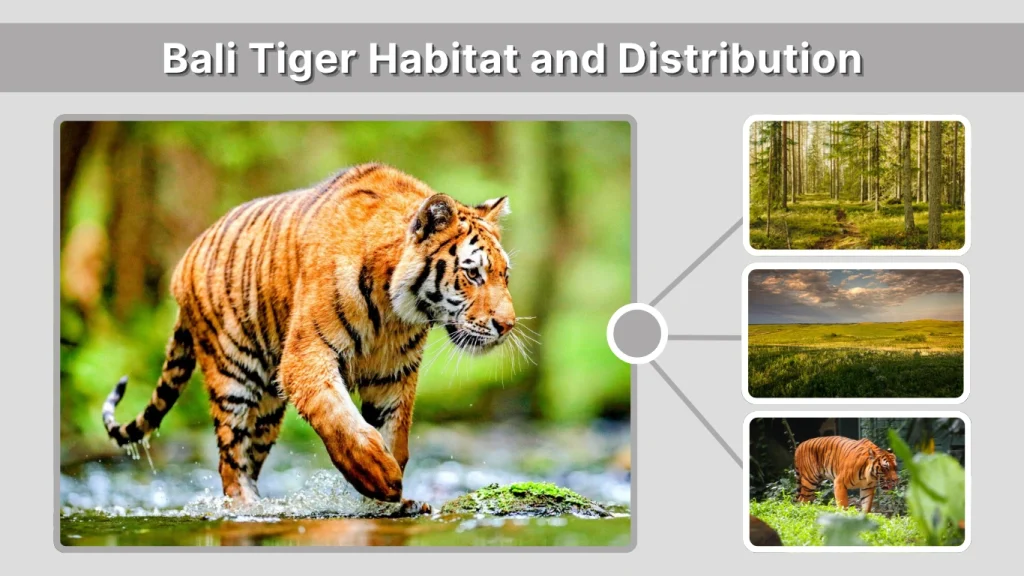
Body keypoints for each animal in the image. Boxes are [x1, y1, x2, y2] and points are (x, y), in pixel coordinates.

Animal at [101, 163, 517, 514]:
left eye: (504, 275)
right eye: (473, 274)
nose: (508, 325)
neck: (394, 312)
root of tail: (184, 262)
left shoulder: (393, 375)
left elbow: (394, 433)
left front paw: (390, 500)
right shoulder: (307, 356)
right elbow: (338, 418)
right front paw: (379, 476)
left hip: (267, 409)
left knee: (249, 455)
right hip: (232, 377)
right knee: (230, 460)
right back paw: (248, 509)